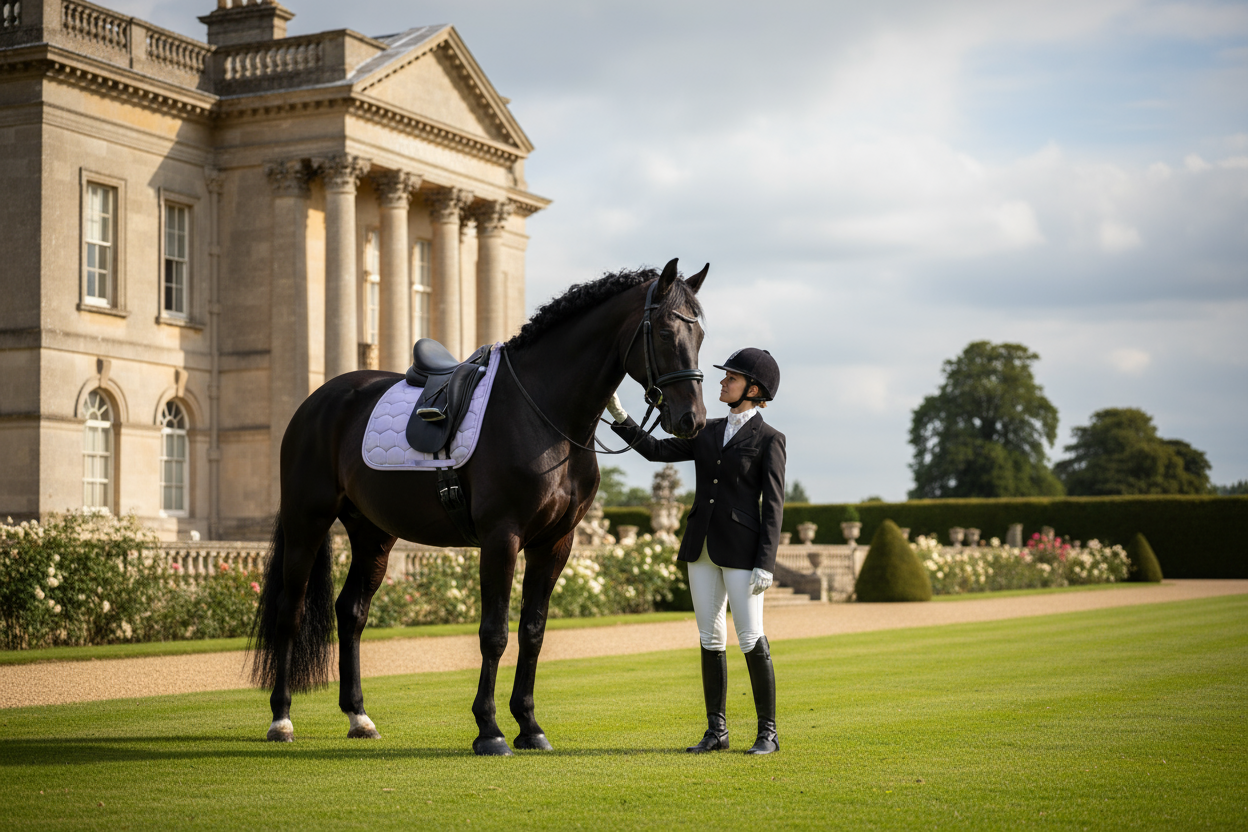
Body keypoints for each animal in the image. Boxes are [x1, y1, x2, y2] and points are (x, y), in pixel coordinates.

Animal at [250, 258, 709, 755]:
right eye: (664, 331)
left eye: (700, 334)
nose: (693, 420)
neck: (543, 411)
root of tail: (319, 400)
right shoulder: (501, 538)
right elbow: (495, 634)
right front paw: (489, 729)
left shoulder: (555, 544)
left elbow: (533, 632)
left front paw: (529, 725)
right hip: (307, 521)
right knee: (290, 611)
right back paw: (281, 719)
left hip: (373, 533)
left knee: (351, 611)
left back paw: (359, 716)